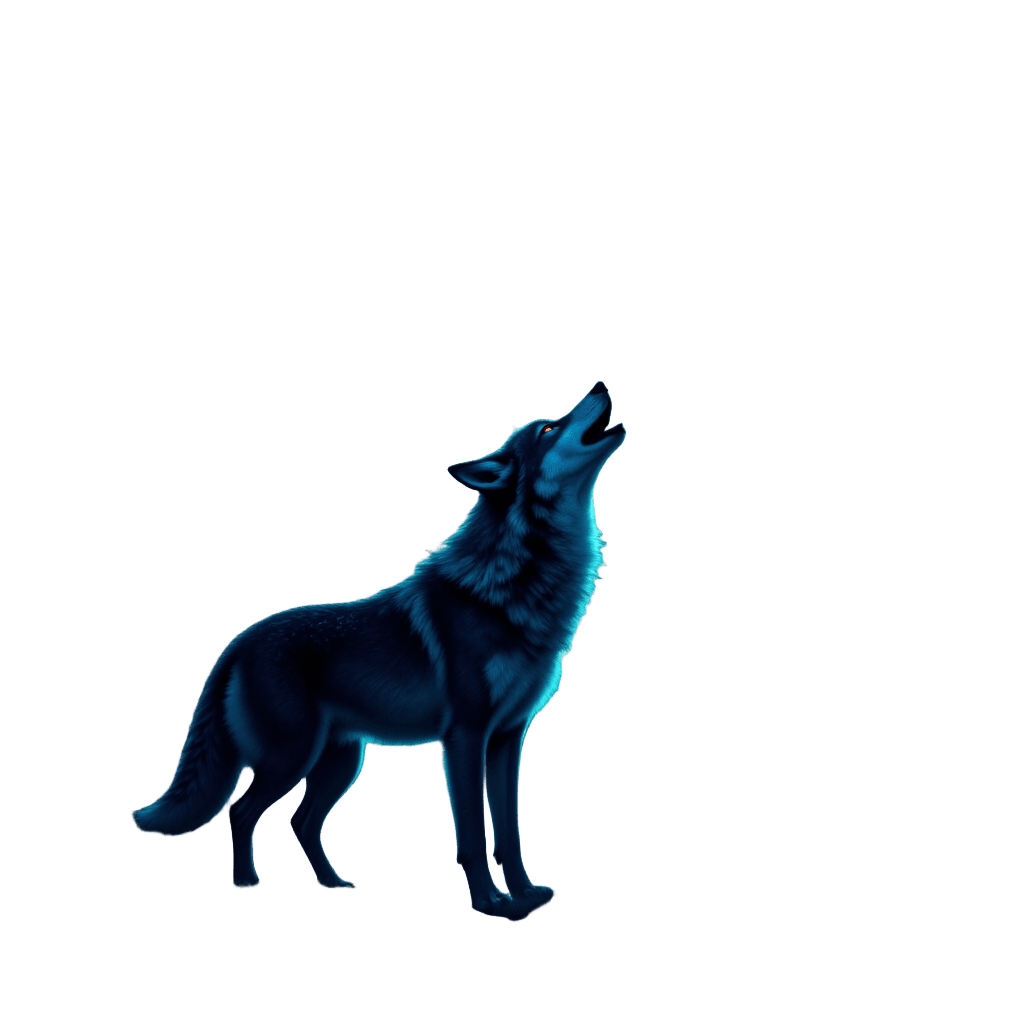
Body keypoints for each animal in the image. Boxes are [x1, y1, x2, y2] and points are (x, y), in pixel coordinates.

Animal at [131, 382, 625, 921]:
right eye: (549, 428)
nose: (600, 385)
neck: (514, 588)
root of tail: (240, 641)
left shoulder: (507, 737)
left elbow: (509, 834)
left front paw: (525, 896)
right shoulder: (466, 736)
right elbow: (473, 837)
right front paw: (490, 902)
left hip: (341, 764)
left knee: (301, 822)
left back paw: (331, 883)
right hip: (292, 759)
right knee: (242, 812)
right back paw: (247, 882)